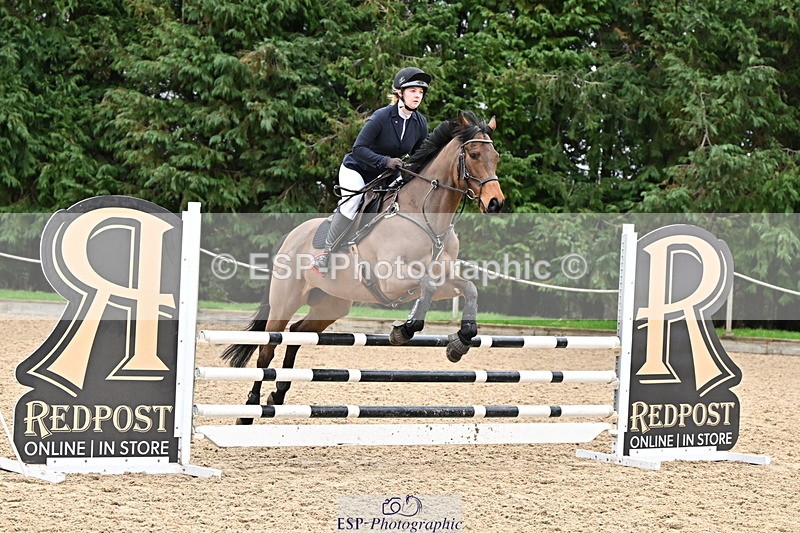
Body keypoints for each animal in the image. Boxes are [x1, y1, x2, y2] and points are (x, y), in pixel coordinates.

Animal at [221, 110, 505, 424]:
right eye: (474, 154)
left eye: (496, 156)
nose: (495, 203)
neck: (426, 218)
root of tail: (292, 236)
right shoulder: (392, 281)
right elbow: (426, 286)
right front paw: (404, 330)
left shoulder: (444, 278)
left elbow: (469, 288)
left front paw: (460, 342)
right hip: (285, 302)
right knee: (267, 348)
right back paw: (249, 409)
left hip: (331, 304)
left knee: (297, 333)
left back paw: (278, 395)